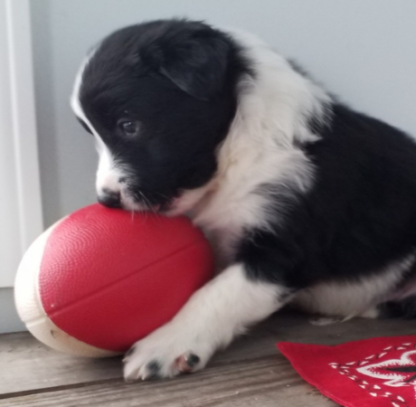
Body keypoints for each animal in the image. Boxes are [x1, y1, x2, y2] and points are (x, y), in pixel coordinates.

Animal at [70, 19, 416, 382]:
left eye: (129, 125)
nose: (106, 199)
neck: (239, 148)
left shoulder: (282, 250)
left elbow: (215, 294)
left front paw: (165, 344)